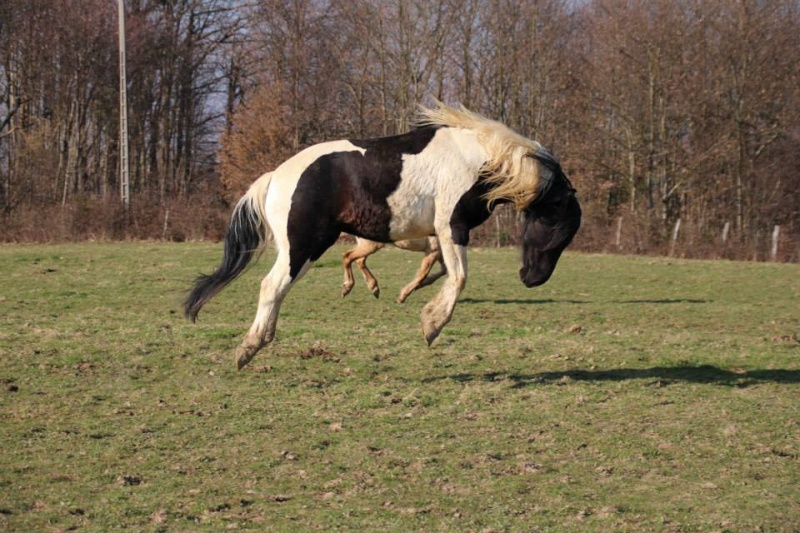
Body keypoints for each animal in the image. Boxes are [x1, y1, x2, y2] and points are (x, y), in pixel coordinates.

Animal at [186, 102, 580, 368]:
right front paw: (431, 324)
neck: (478, 159)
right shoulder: (451, 228)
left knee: (280, 288)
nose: (532, 279)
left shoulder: (443, 237)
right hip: (304, 246)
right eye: (557, 227)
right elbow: (458, 277)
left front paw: (417, 306)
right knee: (272, 286)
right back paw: (249, 348)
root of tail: (276, 175)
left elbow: (442, 274)